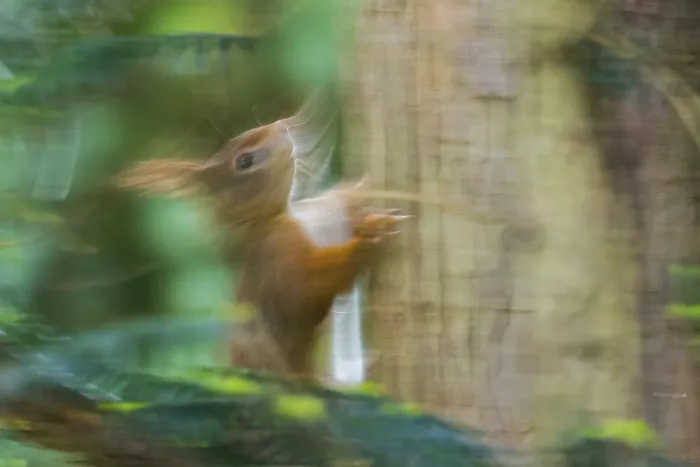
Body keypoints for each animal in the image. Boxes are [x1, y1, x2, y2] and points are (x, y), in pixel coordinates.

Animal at [116, 113, 403, 379]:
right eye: (244, 161)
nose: (281, 125)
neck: (282, 218)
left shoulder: (325, 216)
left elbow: (339, 202)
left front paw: (359, 191)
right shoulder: (278, 259)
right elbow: (307, 293)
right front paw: (369, 238)